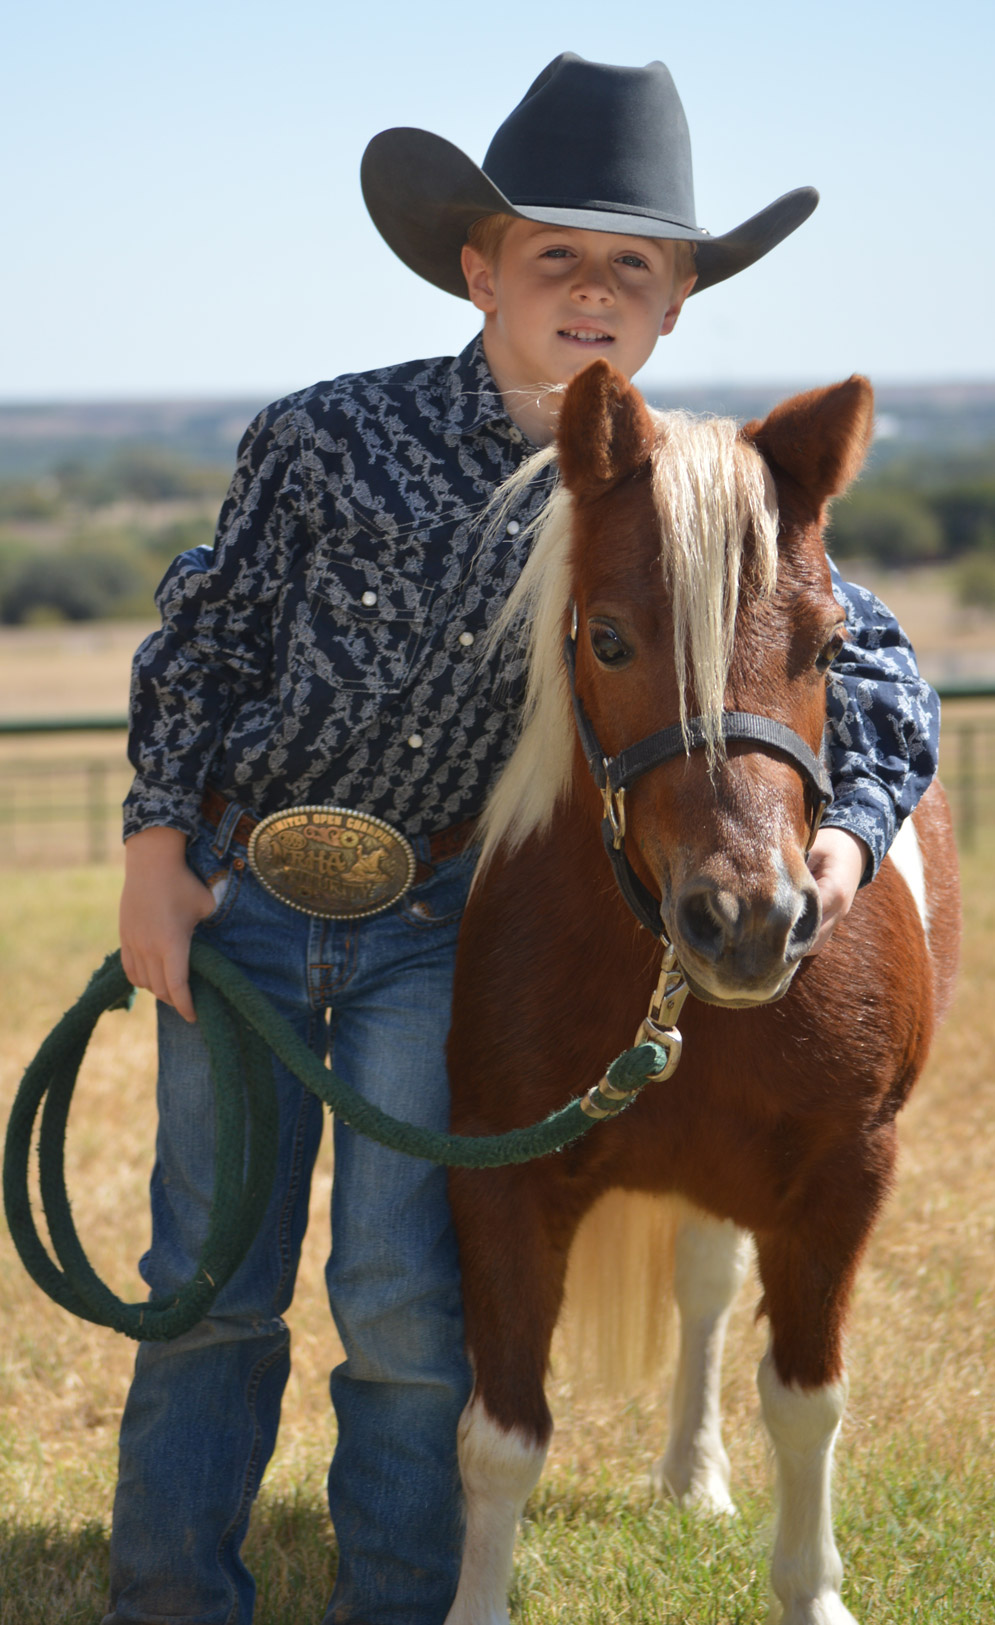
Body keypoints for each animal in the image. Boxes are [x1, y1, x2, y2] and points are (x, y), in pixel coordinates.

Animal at [442, 360, 960, 1625]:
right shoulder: (498, 1177)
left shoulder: (842, 1175)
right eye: (609, 638)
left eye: (829, 648)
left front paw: (809, 1592)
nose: (748, 921)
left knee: (708, 1292)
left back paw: (693, 1474)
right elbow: (501, 1434)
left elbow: (806, 1398)